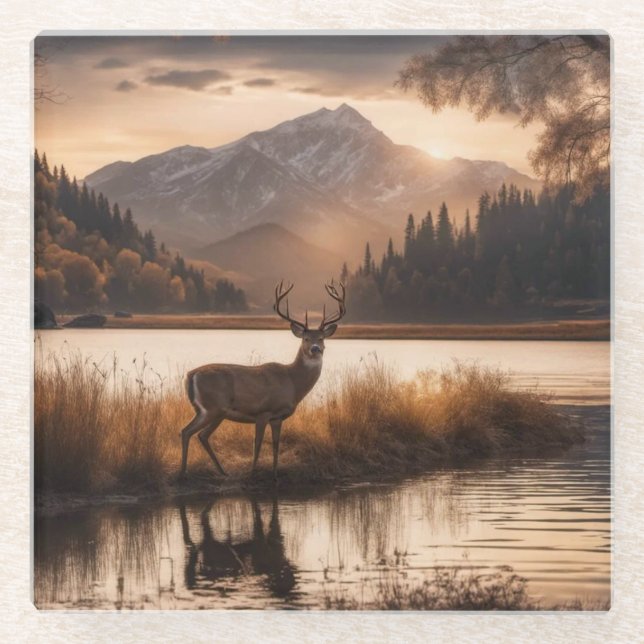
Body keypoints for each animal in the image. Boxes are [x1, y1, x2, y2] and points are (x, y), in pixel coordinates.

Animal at [178, 280, 346, 480]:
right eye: (305, 339)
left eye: (321, 338)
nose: (315, 349)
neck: (292, 382)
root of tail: (191, 374)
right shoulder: (263, 411)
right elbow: (257, 444)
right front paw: (252, 473)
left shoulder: (278, 417)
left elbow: (275, 445)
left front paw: (275, 475)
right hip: (213, 408)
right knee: (189, 432)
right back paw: (184, 472)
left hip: (211, 411)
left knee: (198, 434)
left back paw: (219, 471)